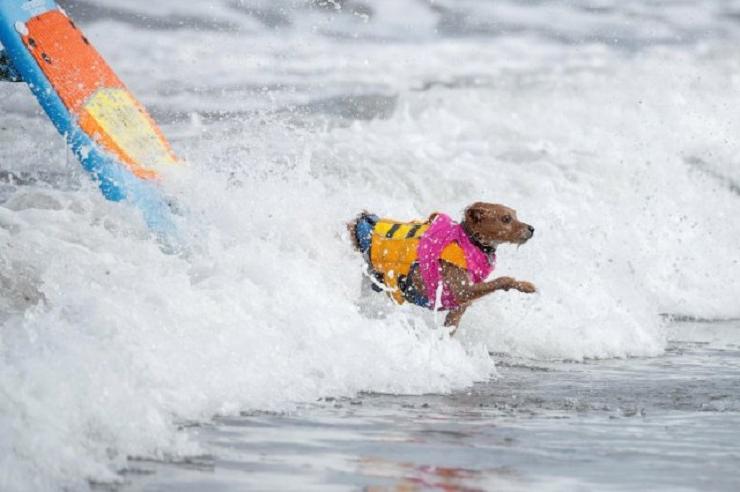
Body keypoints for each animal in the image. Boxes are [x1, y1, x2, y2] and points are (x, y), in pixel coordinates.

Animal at [350, 201, 536, 334]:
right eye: (506, 219)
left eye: (515, 215)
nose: (532, 228)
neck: (470, 242)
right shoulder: (462, 291)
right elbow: (502, 280)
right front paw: (523, 285)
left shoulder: (459, 308)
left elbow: (450, 328)